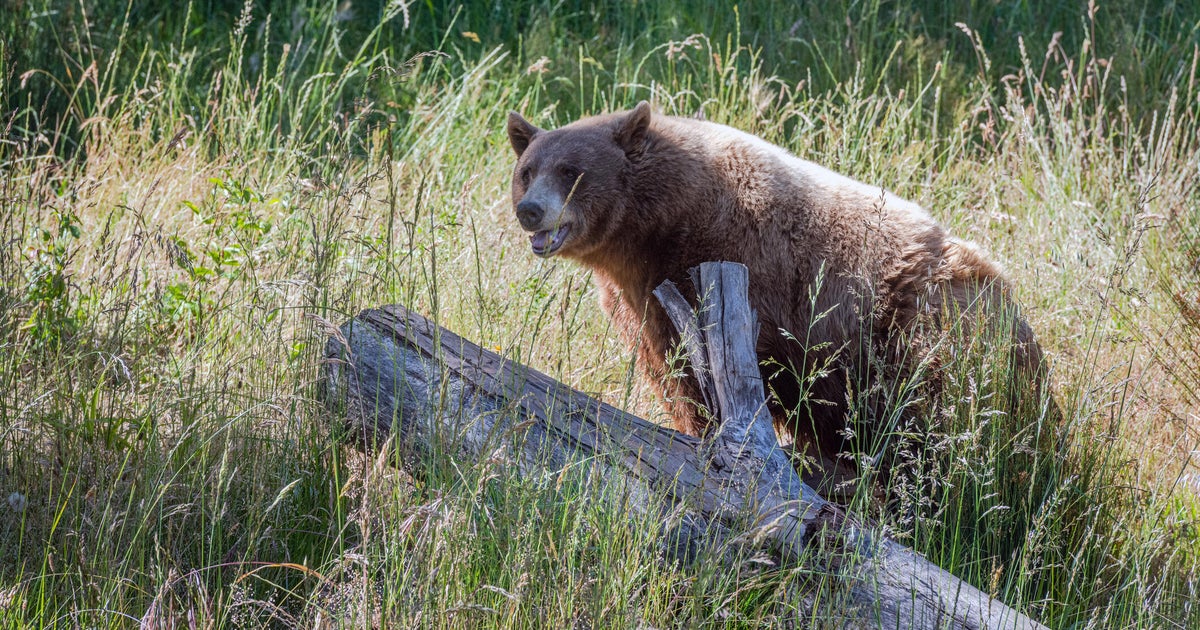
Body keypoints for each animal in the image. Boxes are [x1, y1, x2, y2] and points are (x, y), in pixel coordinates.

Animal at [504, 101, 1051, 477]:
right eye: (527, 171)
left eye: (571, 171)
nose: (530, 209)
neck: (656, 227)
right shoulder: (642, 298)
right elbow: (671, 372)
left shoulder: (733, 268)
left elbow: (709, 379)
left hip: (929, 345)